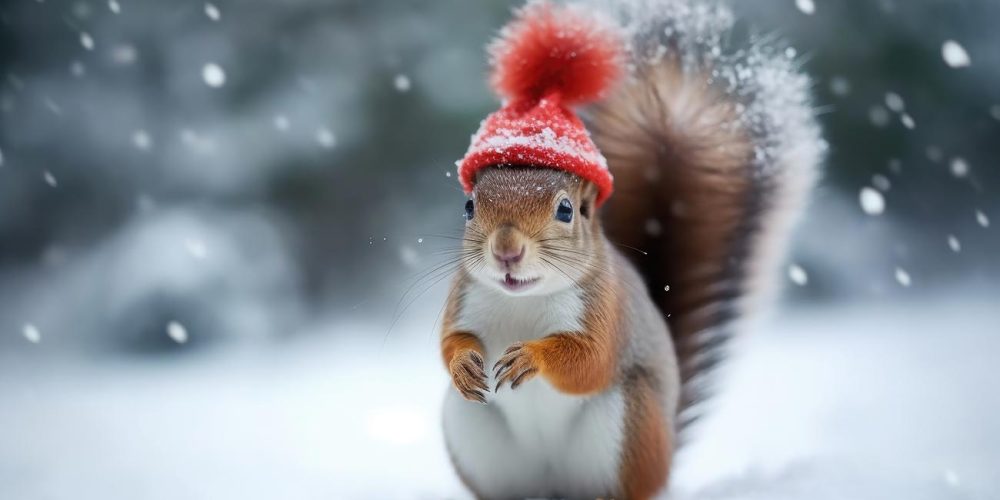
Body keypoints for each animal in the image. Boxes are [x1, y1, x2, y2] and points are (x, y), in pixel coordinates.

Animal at [438, 1, 820, 498]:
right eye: (469, 205)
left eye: (566, 210)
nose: (506, 251)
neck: (522, 299)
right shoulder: (462, 298)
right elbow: (449, 341)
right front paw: (464, 363)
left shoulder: (607, 309)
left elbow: (590, 360)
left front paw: (532, 356)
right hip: (472, 429)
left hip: (629, 424)